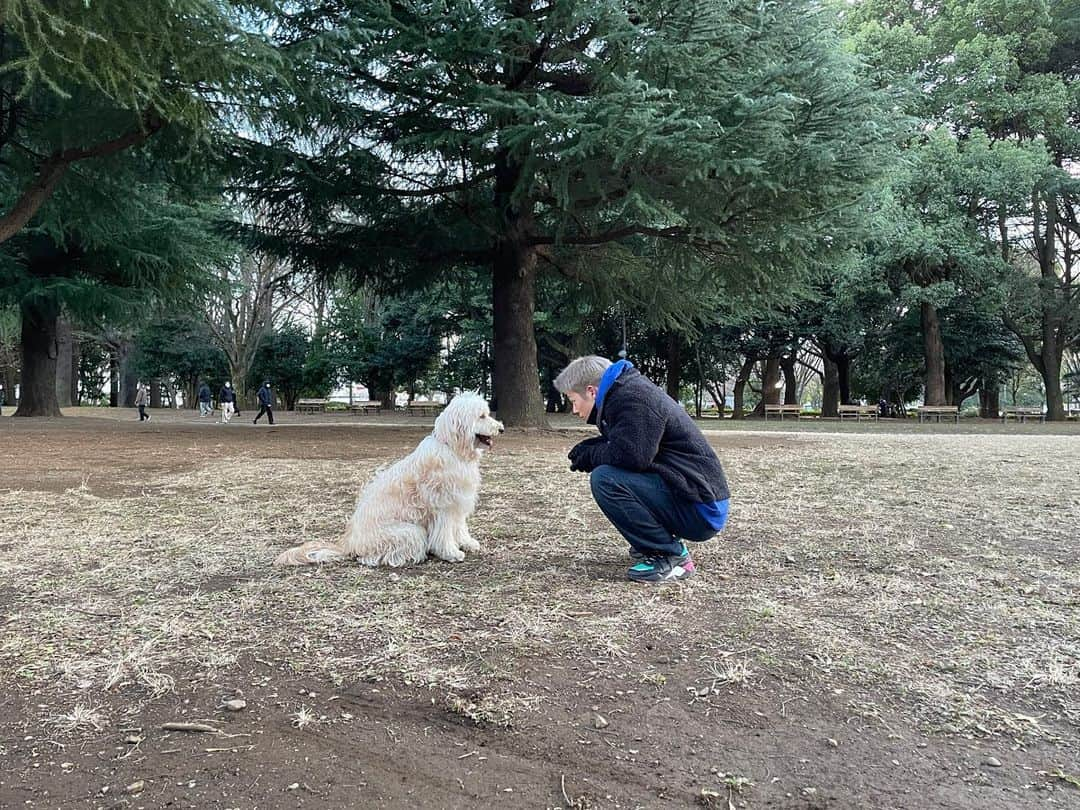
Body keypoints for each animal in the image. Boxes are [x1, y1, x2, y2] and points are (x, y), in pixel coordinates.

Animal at [274, 390, 501, 565]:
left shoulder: (459, 502)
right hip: (411, 533)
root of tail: (348, 543)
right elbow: (445, 533)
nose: (501, 428)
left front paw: (467, 543)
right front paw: (451, 553)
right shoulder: (443, 505)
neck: (452, 448)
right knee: (370, 557)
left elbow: (460, 527)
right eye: (481, 416)